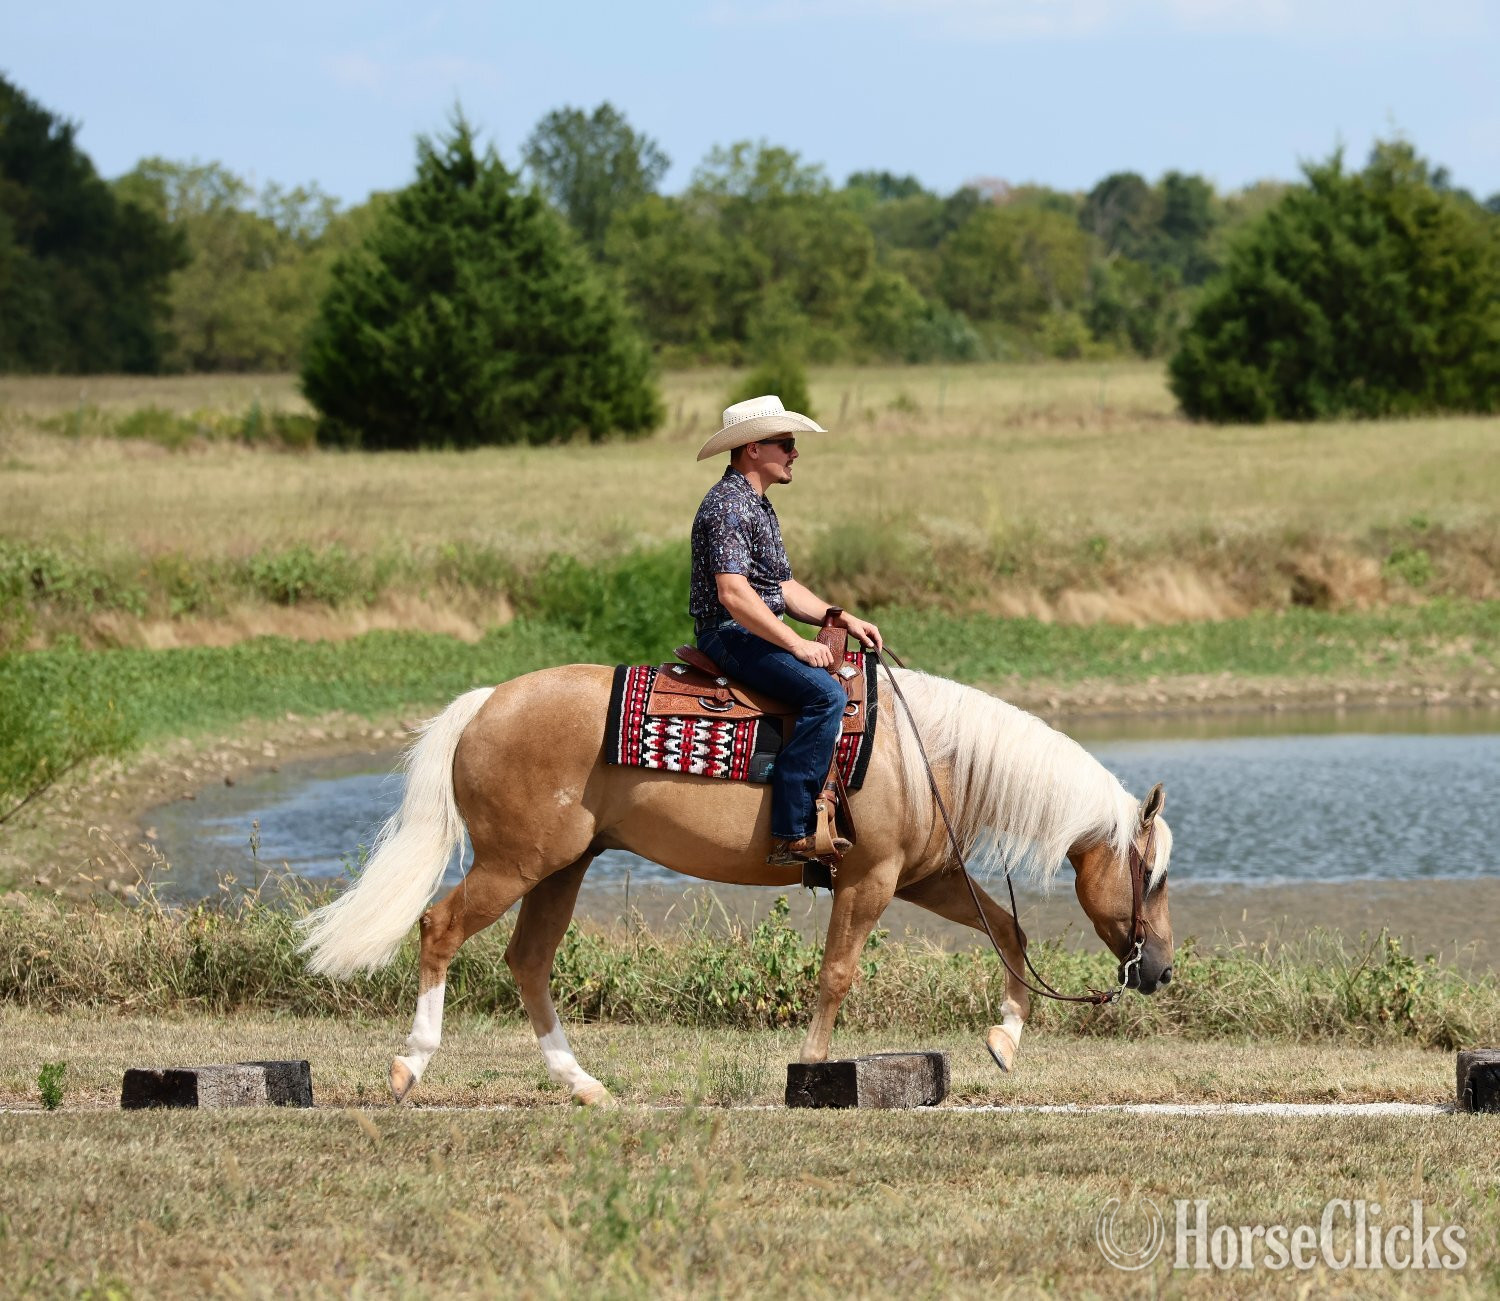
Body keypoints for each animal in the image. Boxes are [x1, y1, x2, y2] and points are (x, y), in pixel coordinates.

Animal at [299, 662, 1175, 1106]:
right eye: (1154, 873)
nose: (1161, 970)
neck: (927, 750)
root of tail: (487, 704)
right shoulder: (870, 879)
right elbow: (836, 973)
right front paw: (813, 1071)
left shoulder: (923, 876)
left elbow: (1012, 931)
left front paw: (1005, 1039)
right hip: (514, 863)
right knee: (441, 927)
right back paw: (411, 1065)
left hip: (561, 867)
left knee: (529, 961)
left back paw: (584, 1084)